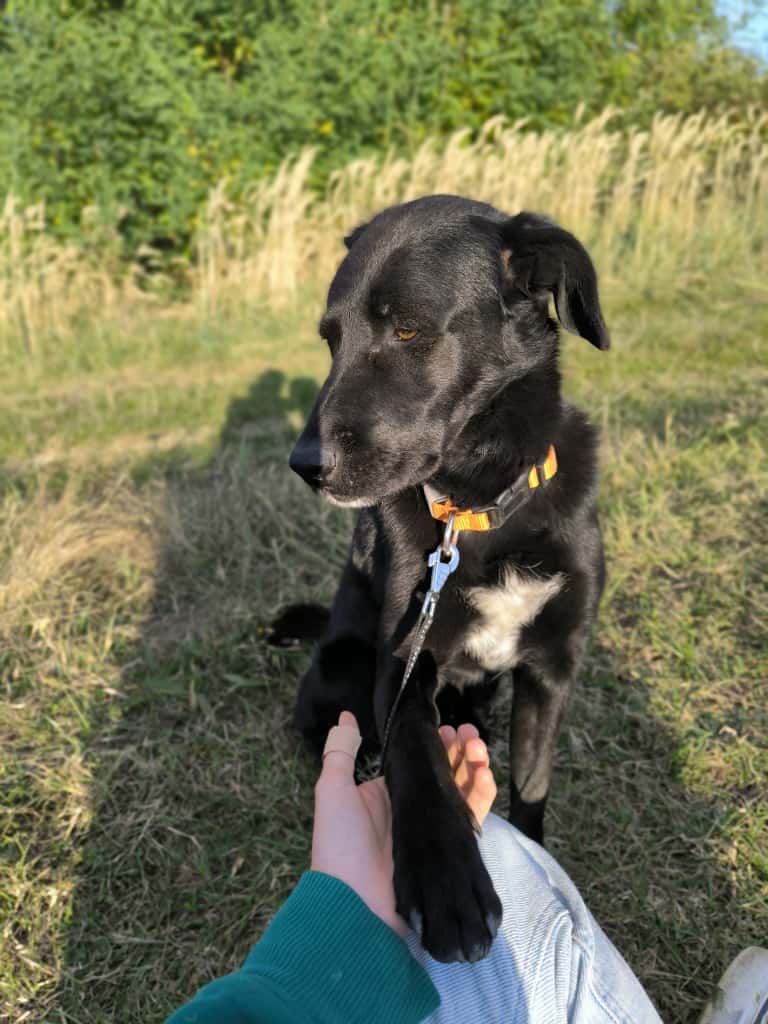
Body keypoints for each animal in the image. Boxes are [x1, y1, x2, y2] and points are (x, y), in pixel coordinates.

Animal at [276, 194, 610, 964]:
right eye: (330, 340)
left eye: (408, 328)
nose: (305, 465)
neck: (477, 505)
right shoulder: (404, 656)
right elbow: (413, 749)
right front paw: (446, 878)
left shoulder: (552, 668)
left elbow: (534, 780)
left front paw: (536, 854)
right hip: (341, 670)